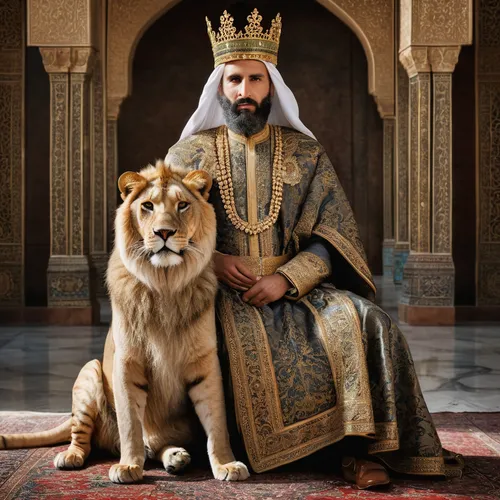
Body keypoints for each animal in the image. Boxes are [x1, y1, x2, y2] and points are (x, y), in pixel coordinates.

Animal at [0, 160, 250, 484]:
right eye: (147, 206)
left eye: (182, 205)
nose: (164, 232)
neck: (165, 283)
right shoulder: (127, 359)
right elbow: (130, 422)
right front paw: (129, 467)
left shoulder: (205, 360)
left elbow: (217, 420)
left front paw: (226, 464)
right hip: (89, 373)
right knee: (83, 437)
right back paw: (71, 457)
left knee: (155, 444)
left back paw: (176, 457)